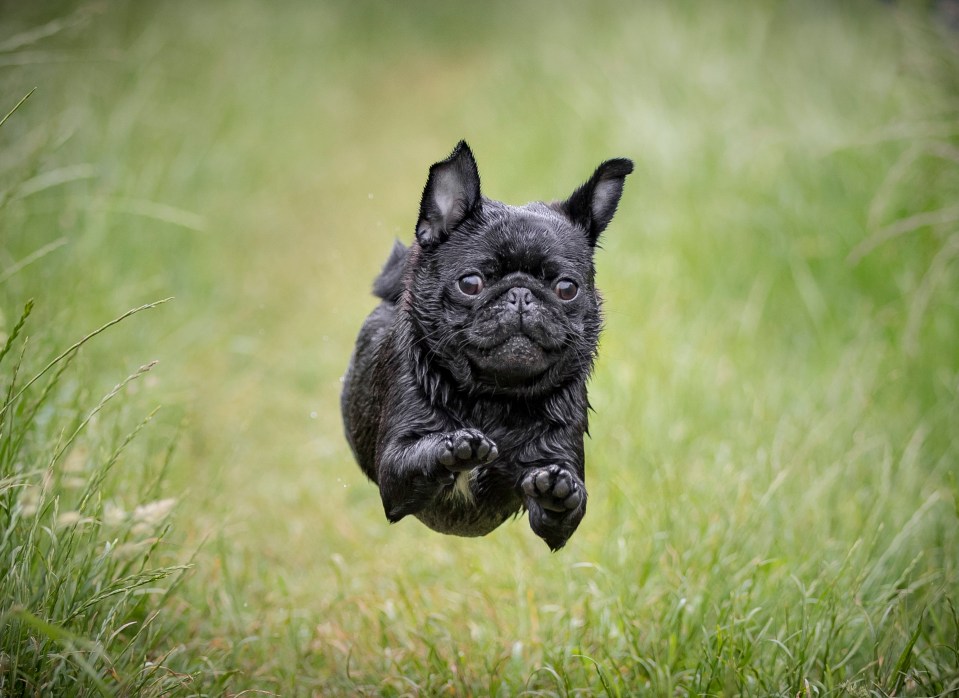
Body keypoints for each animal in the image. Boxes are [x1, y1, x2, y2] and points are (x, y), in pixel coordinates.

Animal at [342, 139, 632, 548]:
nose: (521, 294)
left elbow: (563, 508)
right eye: (471, 283)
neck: (492, 398)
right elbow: (417, 454)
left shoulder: (557, 481)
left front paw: (557, 489)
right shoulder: (395, 473)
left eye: (567, 288)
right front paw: (455, 445)